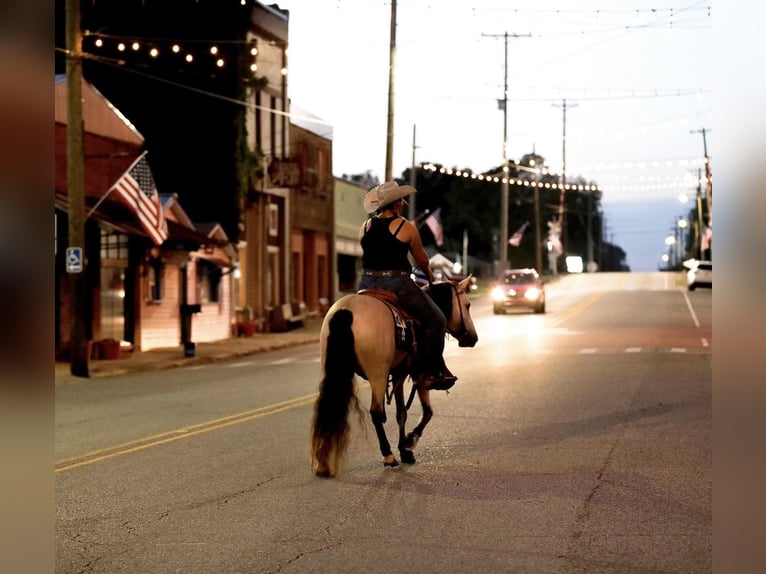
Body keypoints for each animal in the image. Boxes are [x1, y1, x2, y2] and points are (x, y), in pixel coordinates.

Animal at [308, 278, 476, 476]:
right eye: (467, 305)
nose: (473, 338)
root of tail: (346, 309)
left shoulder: (398, 375)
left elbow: (401, 413)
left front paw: (404, 449)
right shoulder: (418, 374)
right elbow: (425, 412)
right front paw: (409, 442)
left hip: (334, 370)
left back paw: (323, 463)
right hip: (378, 374)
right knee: (375, 412)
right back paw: (388, 455)